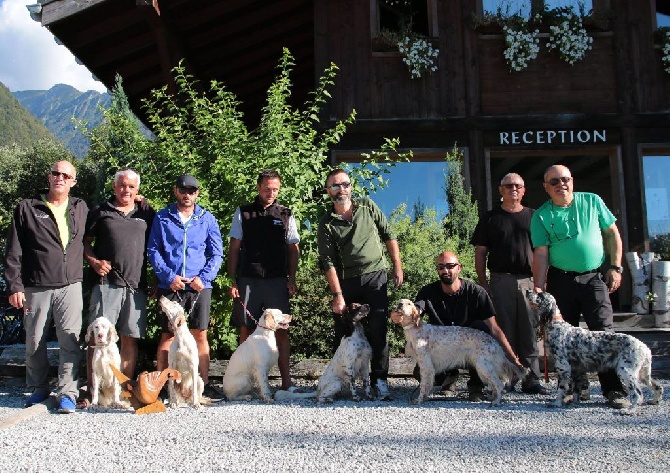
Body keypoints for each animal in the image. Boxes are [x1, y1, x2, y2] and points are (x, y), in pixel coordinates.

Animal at [388, 300, 532, 404]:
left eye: (409, 303)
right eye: (400, 301)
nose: (399, 304)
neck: (416, 329)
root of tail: (494, 343)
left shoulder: (426, 366)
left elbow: (424, 386)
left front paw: (419, 400)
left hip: (483, 367)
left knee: (499, 384)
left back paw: (495, 402)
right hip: (484, 368)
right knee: (496, 385)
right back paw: (491, 398)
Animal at [532, 290, 668, 412]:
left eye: (540, 295)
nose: (528, 291)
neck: (556, 324)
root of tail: (644, 347)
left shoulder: (563, 366)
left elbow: (561, 388)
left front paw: (557, 403)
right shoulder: (577, 369)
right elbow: (576, 390)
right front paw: (574, 401)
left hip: (625, 371)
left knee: (637, 393)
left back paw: (630, 410)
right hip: (643, 373)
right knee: (657, 386)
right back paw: (654, 401)